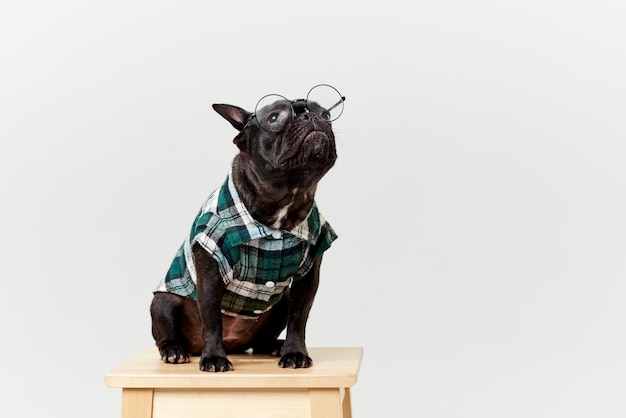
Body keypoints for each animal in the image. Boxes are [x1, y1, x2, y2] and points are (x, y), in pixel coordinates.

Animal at [149, 85, 344, 372]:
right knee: (166, 333)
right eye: (274, 118)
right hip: (163, 301)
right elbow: (211, 318)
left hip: (281, 301)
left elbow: (299, 318)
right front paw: (214, 358)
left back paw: (276, 346)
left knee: (264, 338)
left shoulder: (308, 276)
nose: (311, 117)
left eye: (326, 114)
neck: (287, 196)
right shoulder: (210, 268)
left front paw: (295, 352)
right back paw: (175, 350)